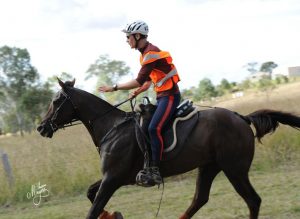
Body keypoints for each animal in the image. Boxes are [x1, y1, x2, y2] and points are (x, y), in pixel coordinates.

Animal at [37, 78, 300, 219]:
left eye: (55, 101)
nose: (41, 127)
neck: (112, 127)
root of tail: (241, 118)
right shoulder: (114, 177)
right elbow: (91, 194)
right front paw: (115, 215)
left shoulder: (113, 178)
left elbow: (93, 207)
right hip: (209, 167)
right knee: (199, 199)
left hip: (234, 169)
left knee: (252, 200)